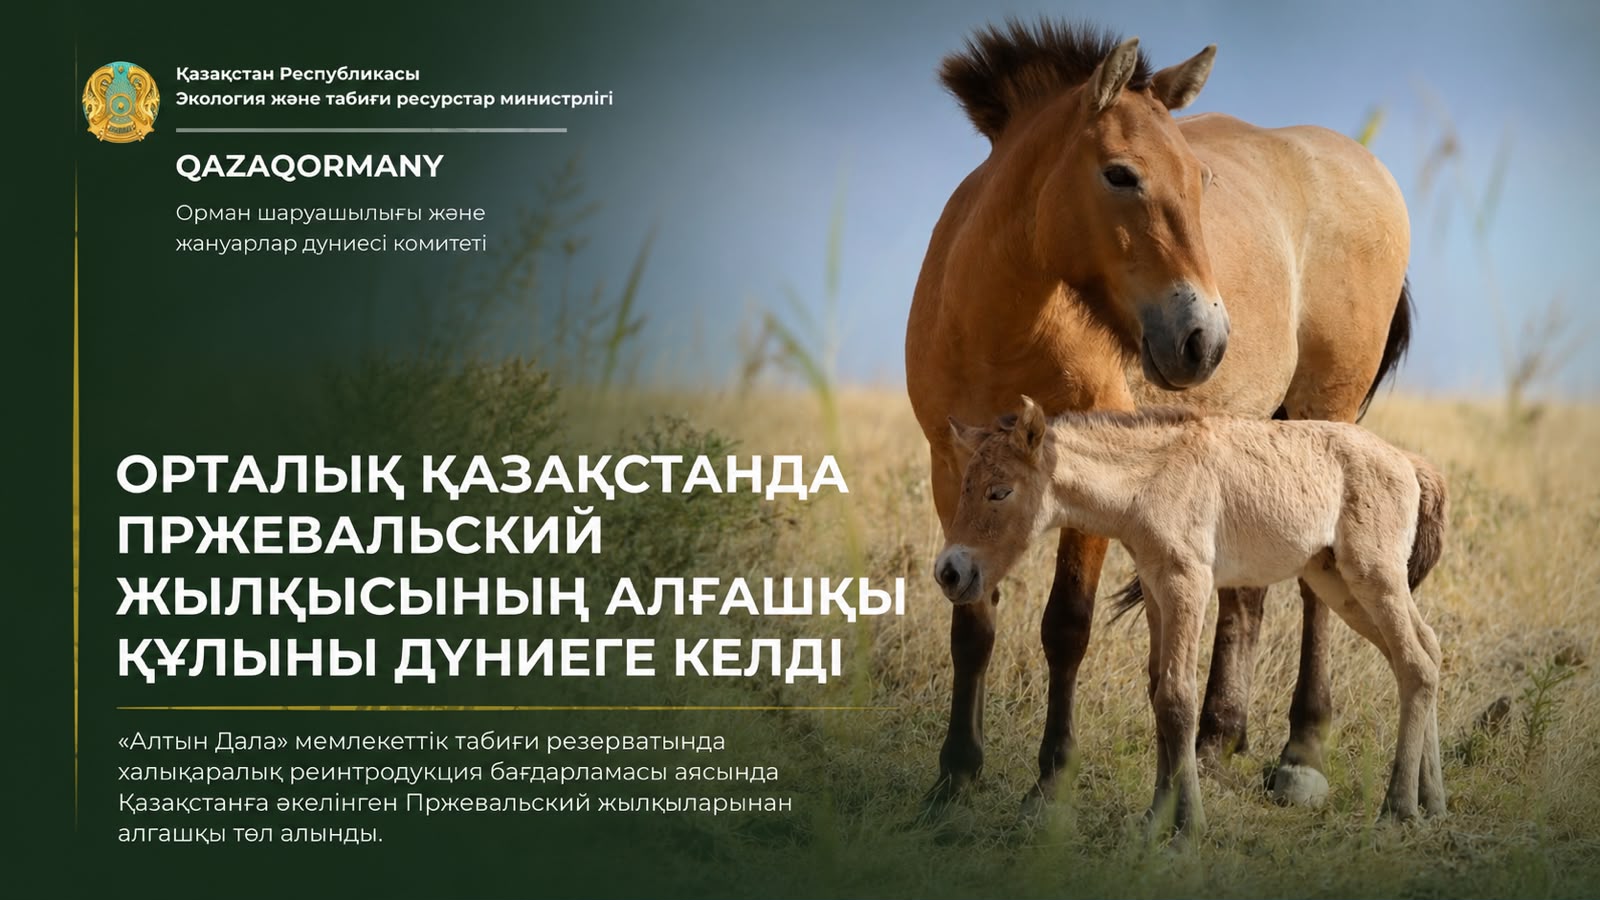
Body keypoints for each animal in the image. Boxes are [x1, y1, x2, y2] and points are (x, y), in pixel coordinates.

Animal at [904, 19, 1413, 815]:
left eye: (1201, 180)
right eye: (1121, 174)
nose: (1204, 339)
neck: (998, 329)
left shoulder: (1079, 481)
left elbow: (1066, 625)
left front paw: (1051, 783)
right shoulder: (950, 469)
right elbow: (973, 622)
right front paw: (955, 775)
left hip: (1328, 418)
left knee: (1313, 589)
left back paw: (1301, 753)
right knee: (1248, 592)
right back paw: (1217, 737)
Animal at [936, 398, 1448, 837]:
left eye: (1000, 492)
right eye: (963, 487)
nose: (950, 572)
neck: (1151, 479)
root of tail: (1409, 463)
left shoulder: (1189, 583)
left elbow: (1177, 699)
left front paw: (1188, 827)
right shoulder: (1157, 589)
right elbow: (1156, 690)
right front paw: (1154, 819)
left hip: (1373, 577)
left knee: (1415, 664)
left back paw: (1397, 809)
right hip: (1339, 585)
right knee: (1424, 652)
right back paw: (1431, 802)